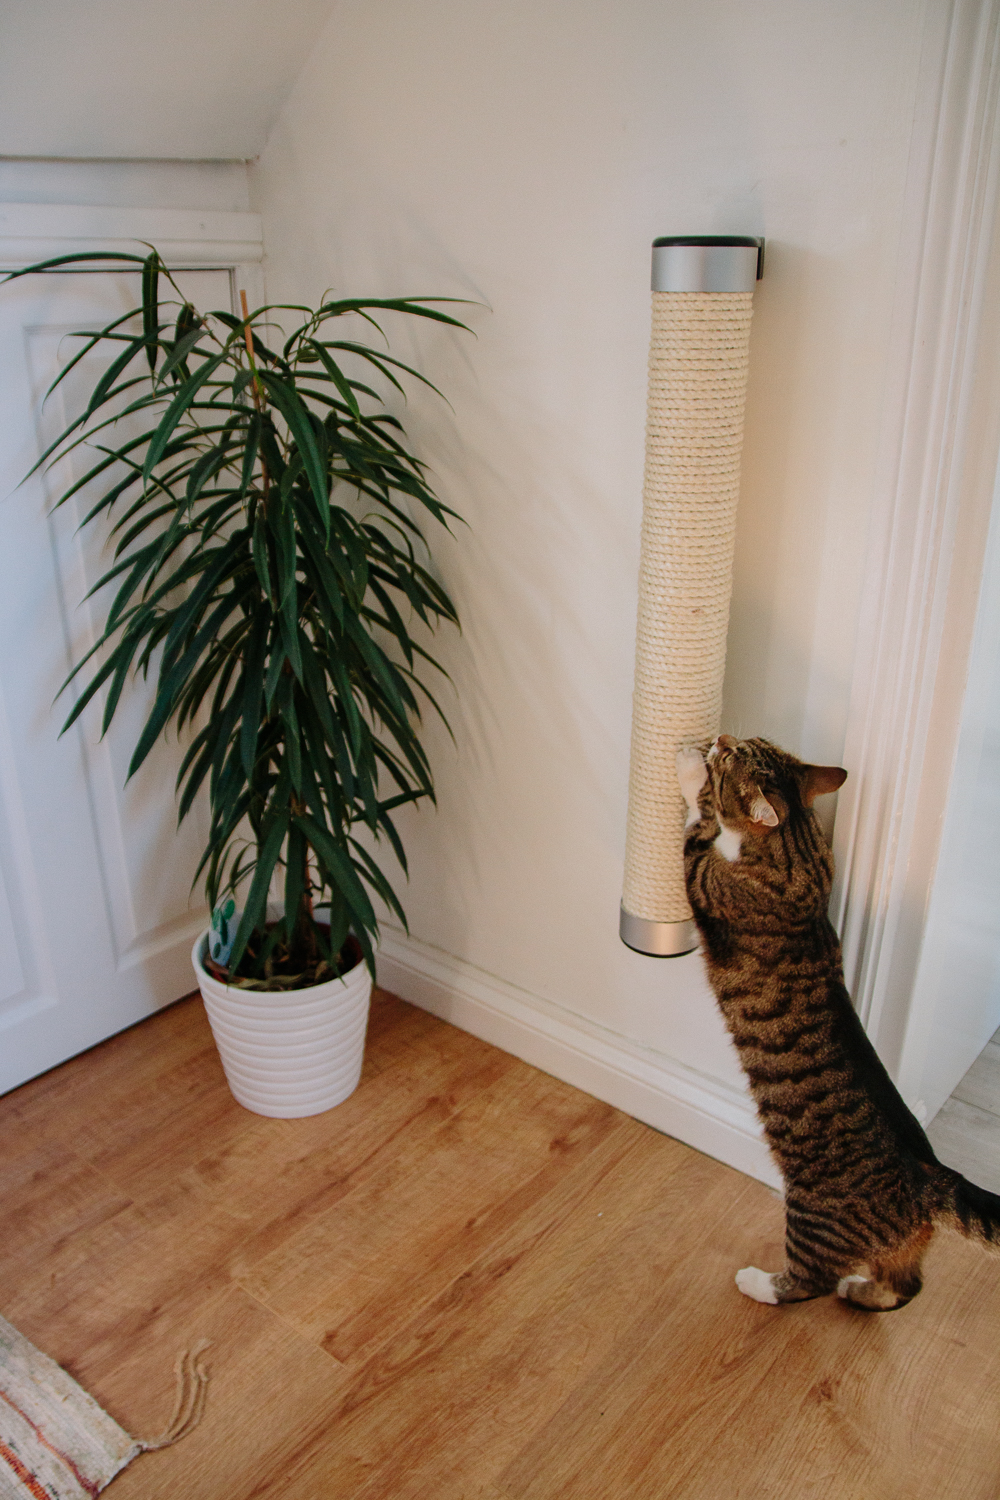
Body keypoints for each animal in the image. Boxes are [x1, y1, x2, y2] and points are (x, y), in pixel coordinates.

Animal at [677, 732, 995, 1308]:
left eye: (733, 756)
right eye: (750, 740)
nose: (721, 738)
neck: (798, 847)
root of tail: (926, 1177)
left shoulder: (703, 877)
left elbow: (700, 823)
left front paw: (691, 766)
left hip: (812, 1217)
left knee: (810, 1282)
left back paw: (760, 1283)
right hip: (900, 1248)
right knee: (907, 1284)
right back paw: (861, 1292)